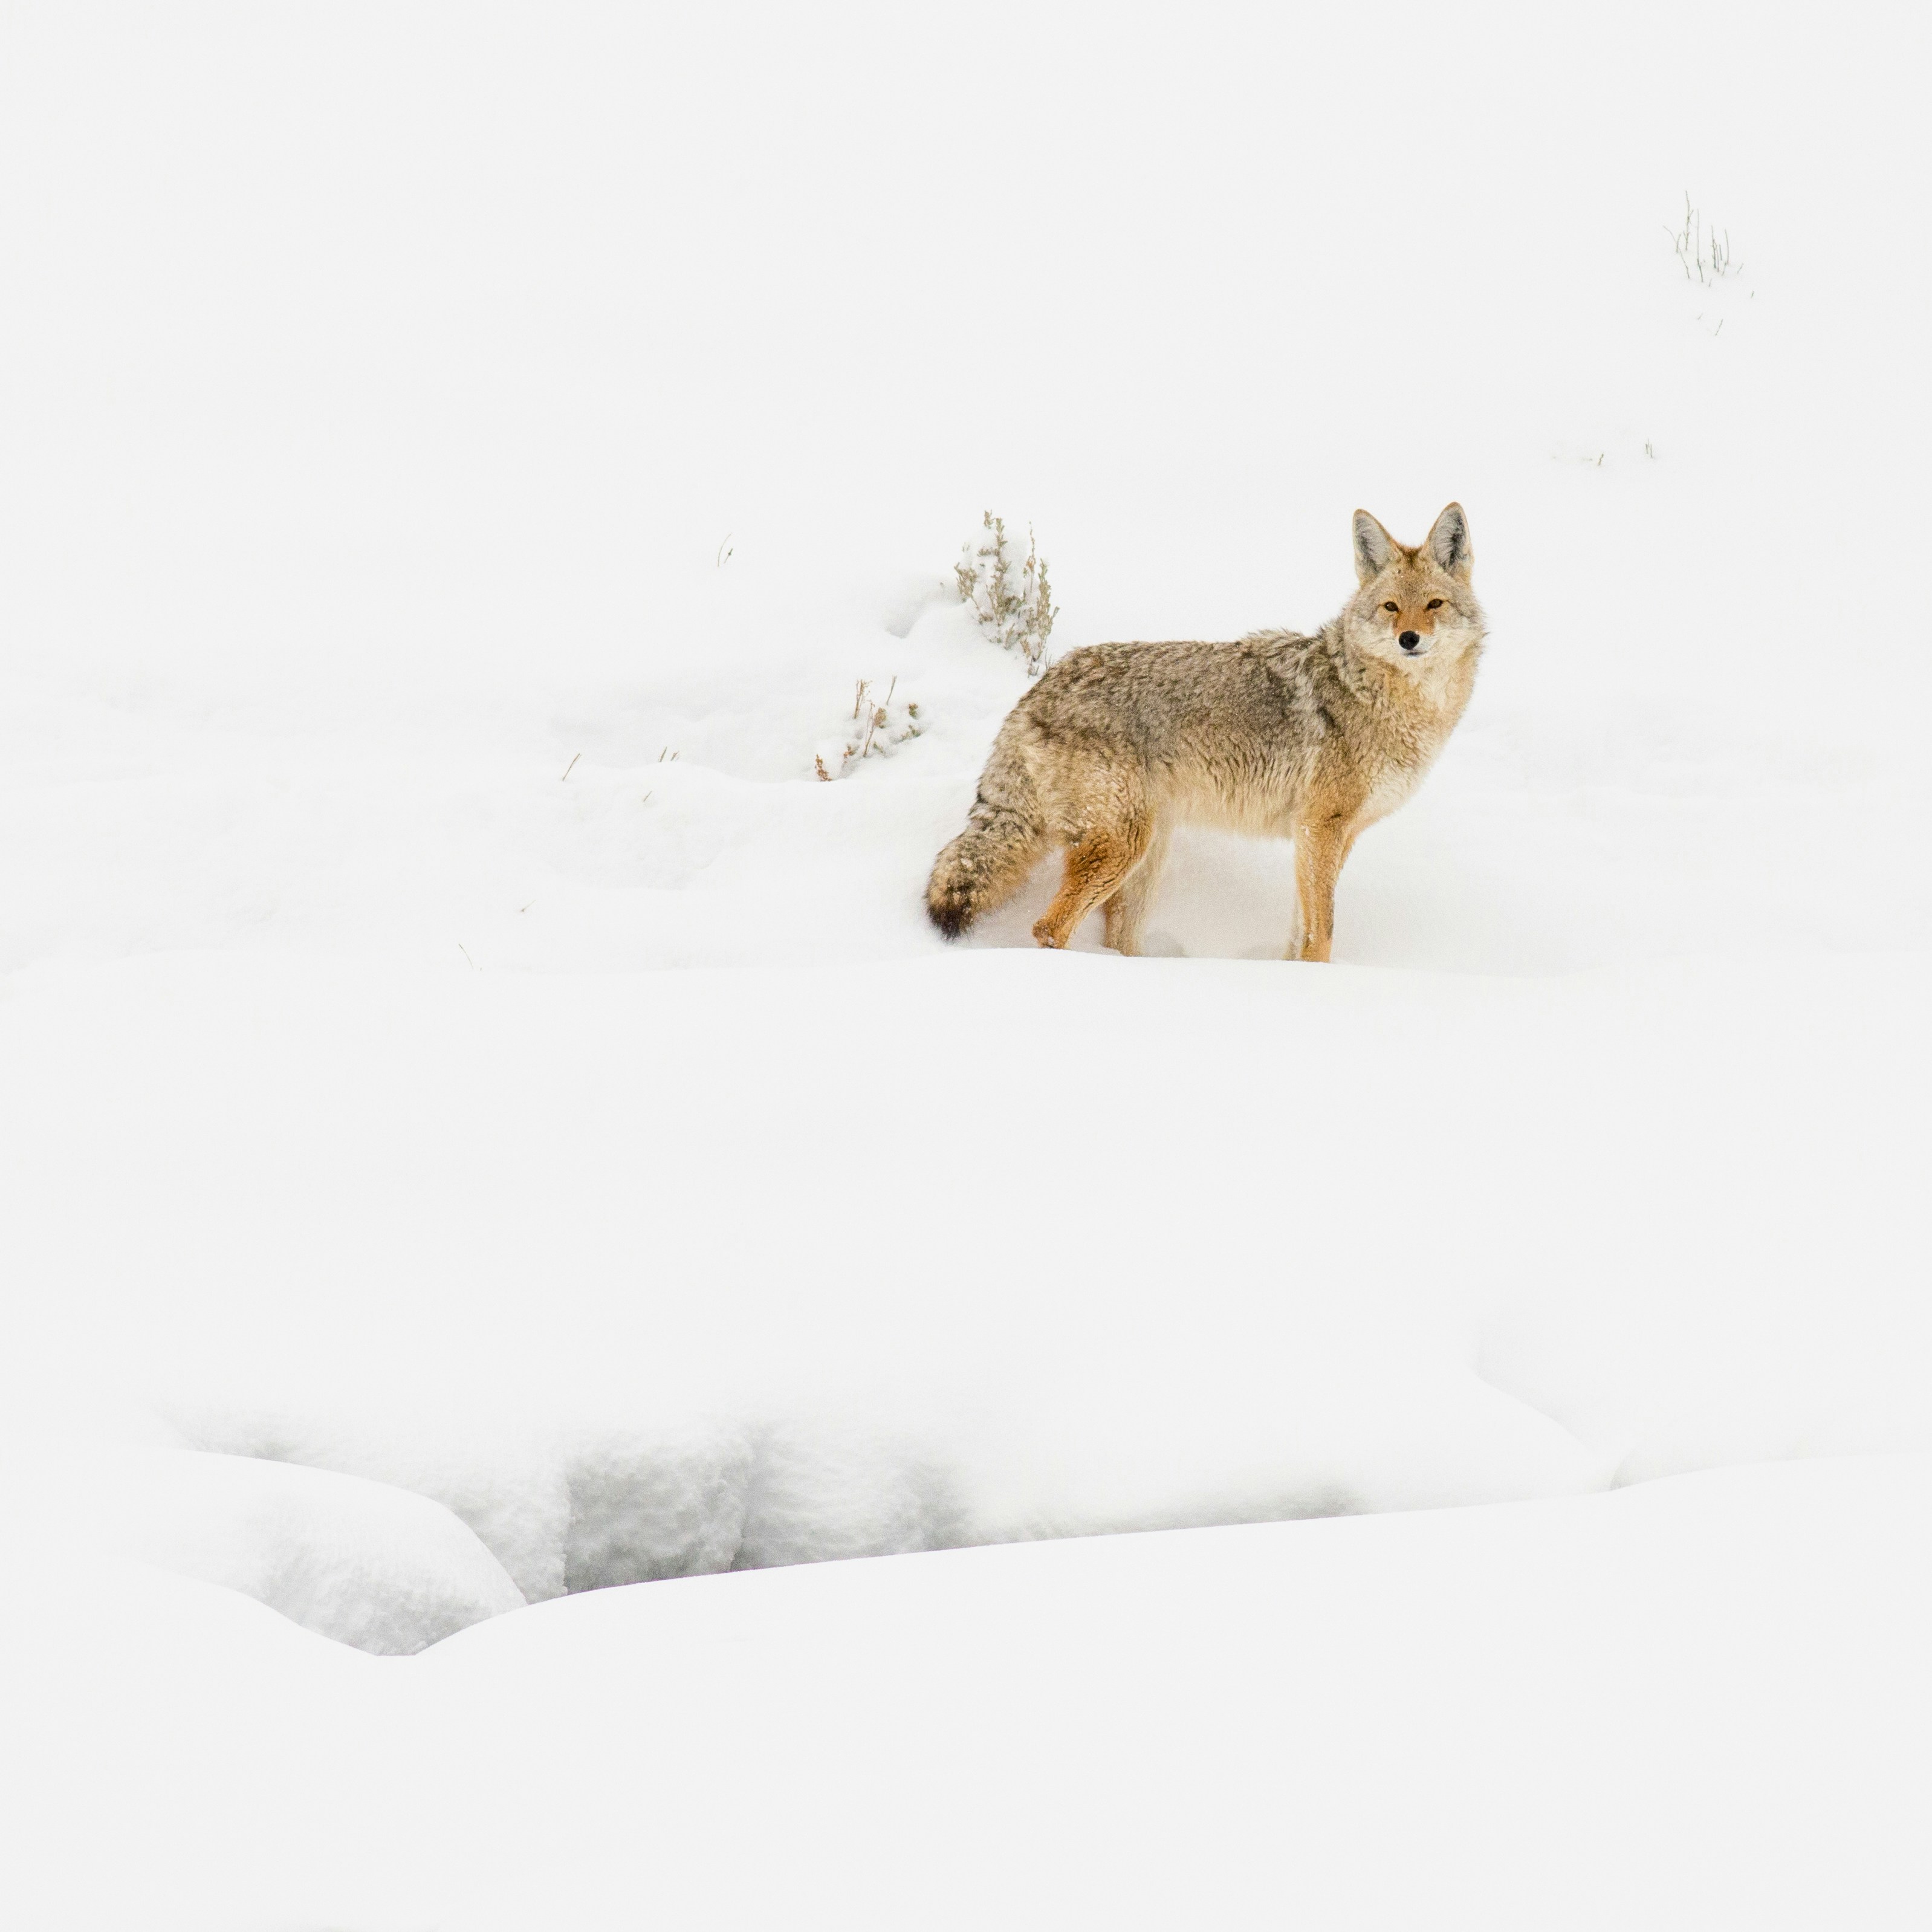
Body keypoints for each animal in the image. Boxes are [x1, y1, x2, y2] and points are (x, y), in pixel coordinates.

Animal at [925, 503, 1485, 962]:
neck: (1387, 701)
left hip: (1145, 856)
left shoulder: (1329, 839)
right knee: (1048, 929)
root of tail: (1037, 690)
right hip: (1122, 847)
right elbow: (1321, 933)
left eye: (1434, 605)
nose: (1409, 639)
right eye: (1391, 607)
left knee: (1115, 939)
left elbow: (1301, 932)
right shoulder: (1319, 830)